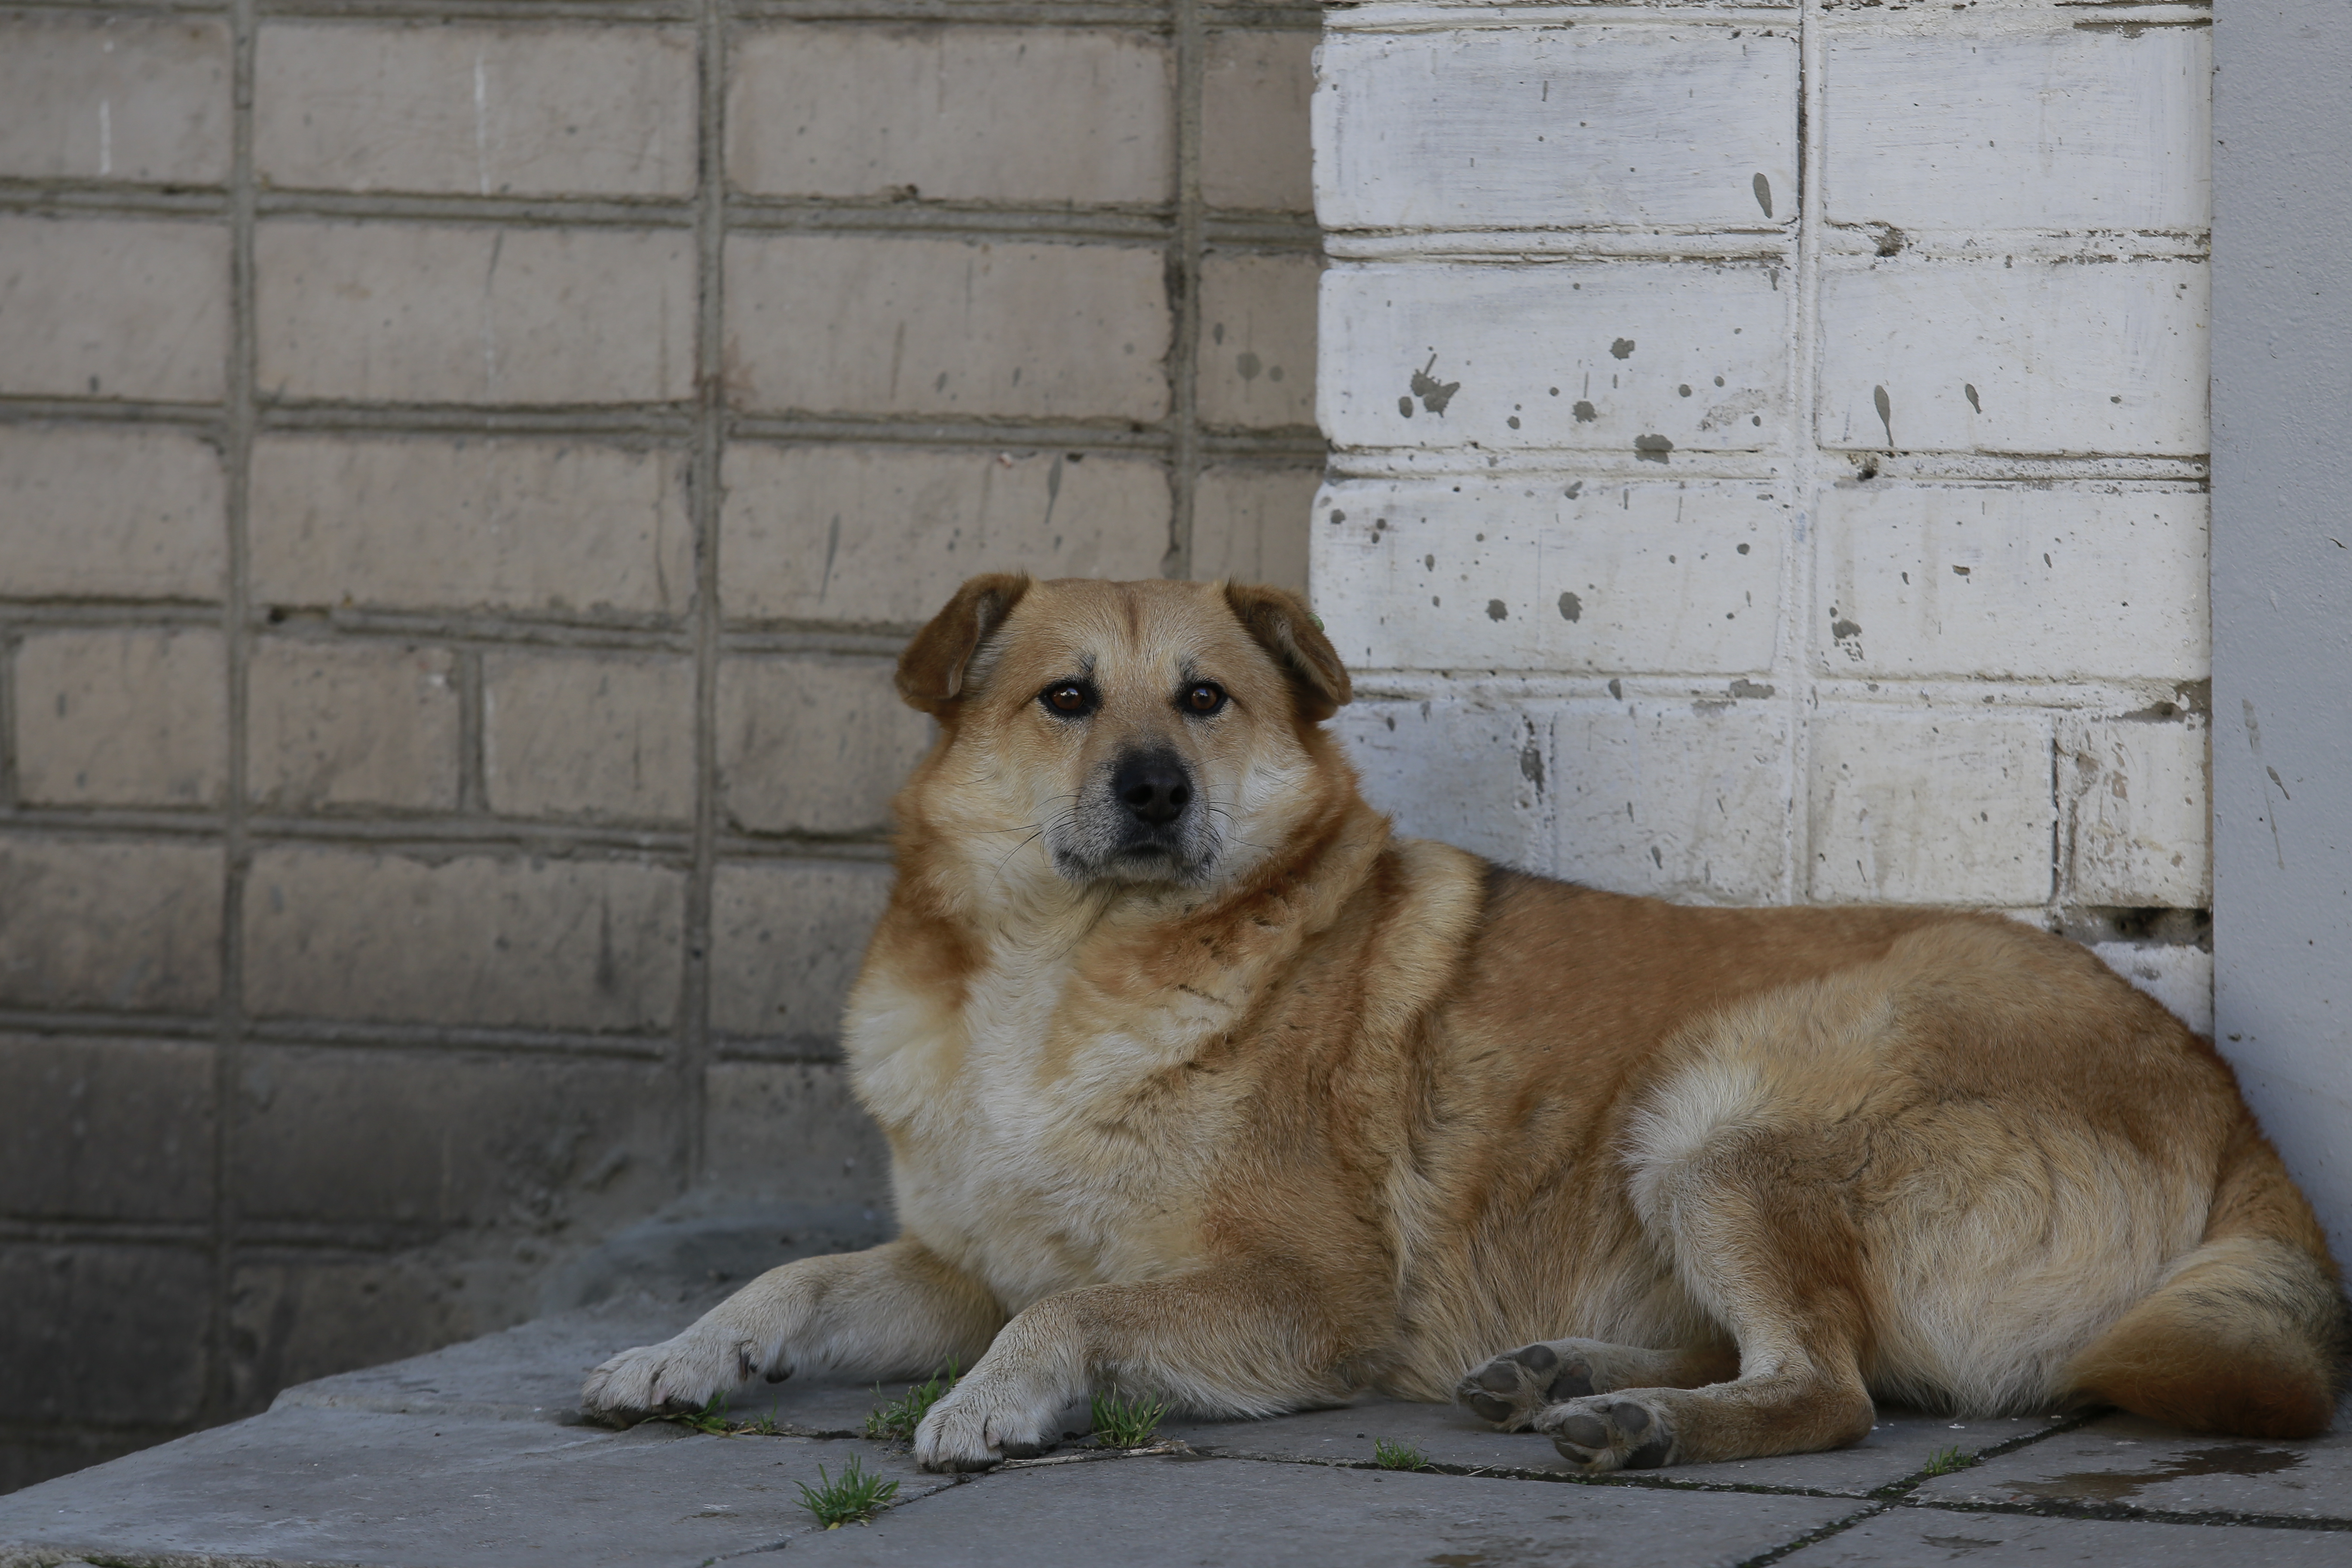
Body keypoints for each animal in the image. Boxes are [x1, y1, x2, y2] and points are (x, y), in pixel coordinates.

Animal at [579, 573, 2343, 1476]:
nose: (1151, 788)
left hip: (1719, 1106)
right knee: (1810, 1359)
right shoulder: (958, 1262)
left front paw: (996, 1401)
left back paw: (1634, 1418)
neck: (1063, 976)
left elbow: (1072, 1313)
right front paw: (677, 1352)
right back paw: (1556, 1371)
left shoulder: (1301, 1295)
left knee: (1831, 1387)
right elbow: (797, 1279)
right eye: (1066, 699)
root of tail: (2233, 1107)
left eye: (1204, 699)